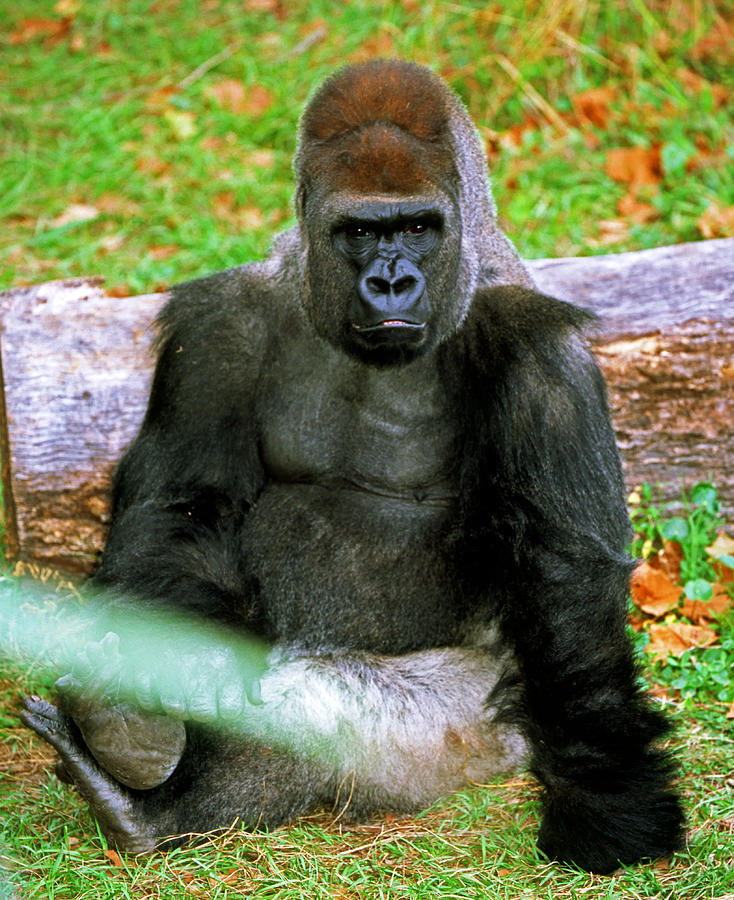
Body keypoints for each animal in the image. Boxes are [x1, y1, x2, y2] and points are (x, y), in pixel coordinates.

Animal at [24, 58, 688, 872]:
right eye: (361, 232)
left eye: (416, 227)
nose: (392, 281)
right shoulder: (216, 327)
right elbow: (182, 506)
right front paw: (170, 662)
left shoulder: (543, 352)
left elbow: (567, 578)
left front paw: (606, 804)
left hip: (483, 728)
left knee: (332, 708)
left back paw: (145, 807)